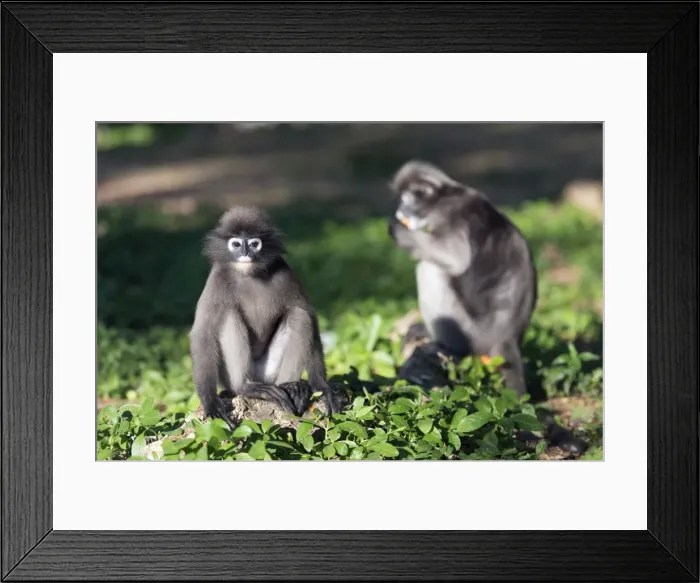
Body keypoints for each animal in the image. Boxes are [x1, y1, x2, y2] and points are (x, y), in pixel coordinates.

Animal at [189, 206, 347, 428]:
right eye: (236, 244)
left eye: (254, 244)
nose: (245, 253)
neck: (249, 274)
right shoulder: (217, 279)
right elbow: (203, 334)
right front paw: (211, 403)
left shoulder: (285, 272)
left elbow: (309, 315)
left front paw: (322, 386)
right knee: (228, 315)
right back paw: (246, 387)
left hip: (269, 372)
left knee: (299, 315)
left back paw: (292, 387)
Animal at [387, 160, 538, 397]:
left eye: (407, 200)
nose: (400, 211)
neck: (449, 193)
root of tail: (506, 339)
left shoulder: (452, 212)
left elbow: (454, 257)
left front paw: (397, 228)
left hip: (473, 334)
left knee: (431, 269)